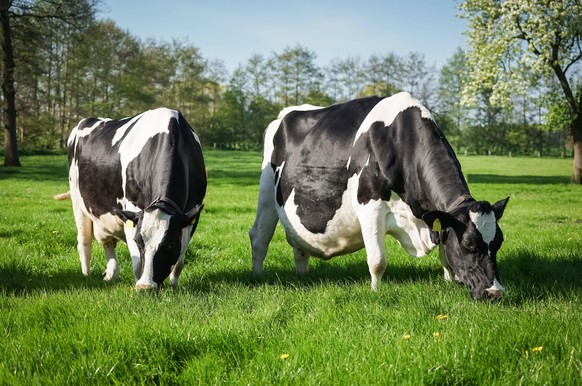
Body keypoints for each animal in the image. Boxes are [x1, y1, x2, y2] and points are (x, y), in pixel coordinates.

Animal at [67, 108, 208, 290]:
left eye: (169, 245)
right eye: (138, 241)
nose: (146, 287)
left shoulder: (191, 216)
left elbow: (179, 261)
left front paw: (173, 285)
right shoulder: (132, 211)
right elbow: (137, 263)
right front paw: (139, 283)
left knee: (108, 243)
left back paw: (111, 274)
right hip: (77, 201)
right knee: (84, 241)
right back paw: (86, 275)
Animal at [251, 92, 512, 298]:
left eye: (499, 242)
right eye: (469, 244)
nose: (495, 292)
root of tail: (286, 113)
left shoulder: (436, 219)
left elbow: (444, 253)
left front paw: (449, 281)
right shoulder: (370, 206)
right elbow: (377, 260)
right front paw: (375, 291)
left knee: (299, 247)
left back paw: (302, 277)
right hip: (266, 192)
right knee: (259, 236)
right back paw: (257, 276)